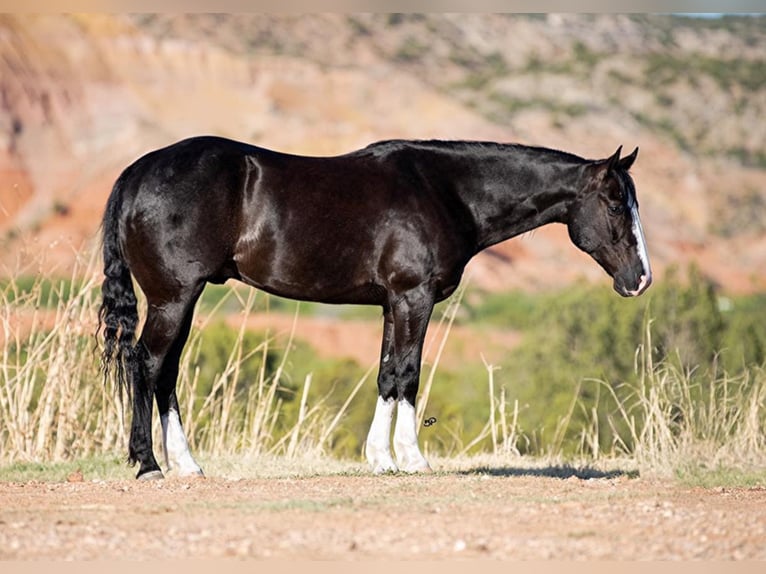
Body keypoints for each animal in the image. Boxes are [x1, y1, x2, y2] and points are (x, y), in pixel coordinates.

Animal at [97, 136, 656, 482]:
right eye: (614, 203)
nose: (641, 279)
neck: (447, 191)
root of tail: (136, 172)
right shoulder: (414, 297)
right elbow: (408, 374)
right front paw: (411, 458)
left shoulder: (392, 304)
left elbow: (387, 374)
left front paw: (380, 458)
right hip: (174, 298)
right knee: (147, 364)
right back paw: (149, 463)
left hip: (181, 301)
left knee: (165, 372)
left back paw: (185, 464)